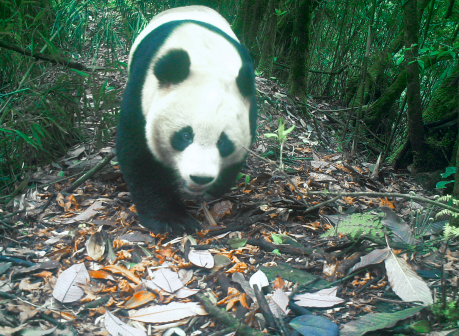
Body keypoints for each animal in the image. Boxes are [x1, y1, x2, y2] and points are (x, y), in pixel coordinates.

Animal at [116, 5, 258, 232]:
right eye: (185, 136)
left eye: (223, 142)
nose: (200, 178)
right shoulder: (142, 91)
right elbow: (139, 155)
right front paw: (171, 219)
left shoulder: (248, 105)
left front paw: (215, 190)